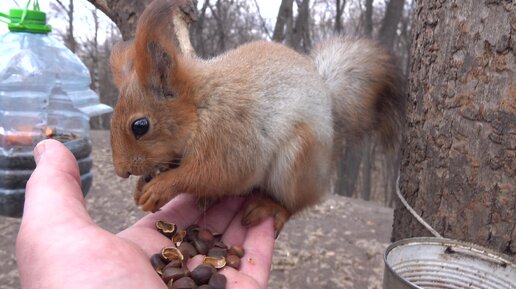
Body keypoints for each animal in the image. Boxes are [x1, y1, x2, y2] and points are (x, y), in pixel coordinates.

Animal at [110, 0, 404, 234]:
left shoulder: (230, 137)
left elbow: (212, 174)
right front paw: (142, 185)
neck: (201, 106)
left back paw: (270, 206)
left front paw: (161, 188)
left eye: (140, 126)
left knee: (297, 203)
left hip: (298, 161)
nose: (122, 172)